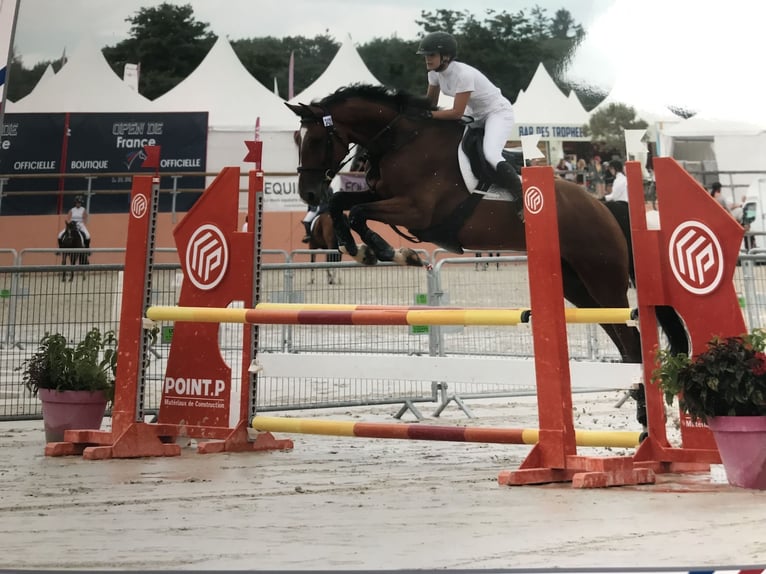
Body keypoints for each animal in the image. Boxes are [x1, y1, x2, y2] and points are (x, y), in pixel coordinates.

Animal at [284, 83, 688, 430]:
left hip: (602, 280)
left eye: (316, 139)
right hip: (579, 287)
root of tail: (604, 206)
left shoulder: (418, 211)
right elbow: (343, 202)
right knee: (625, 342)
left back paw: (646, 421)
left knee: (632, 340)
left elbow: (356, 211)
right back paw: (642, 416)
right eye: (296, 140)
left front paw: (388, 251)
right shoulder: (384, 197)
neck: (401, 140)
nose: (307, 192)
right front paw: (361, 248)